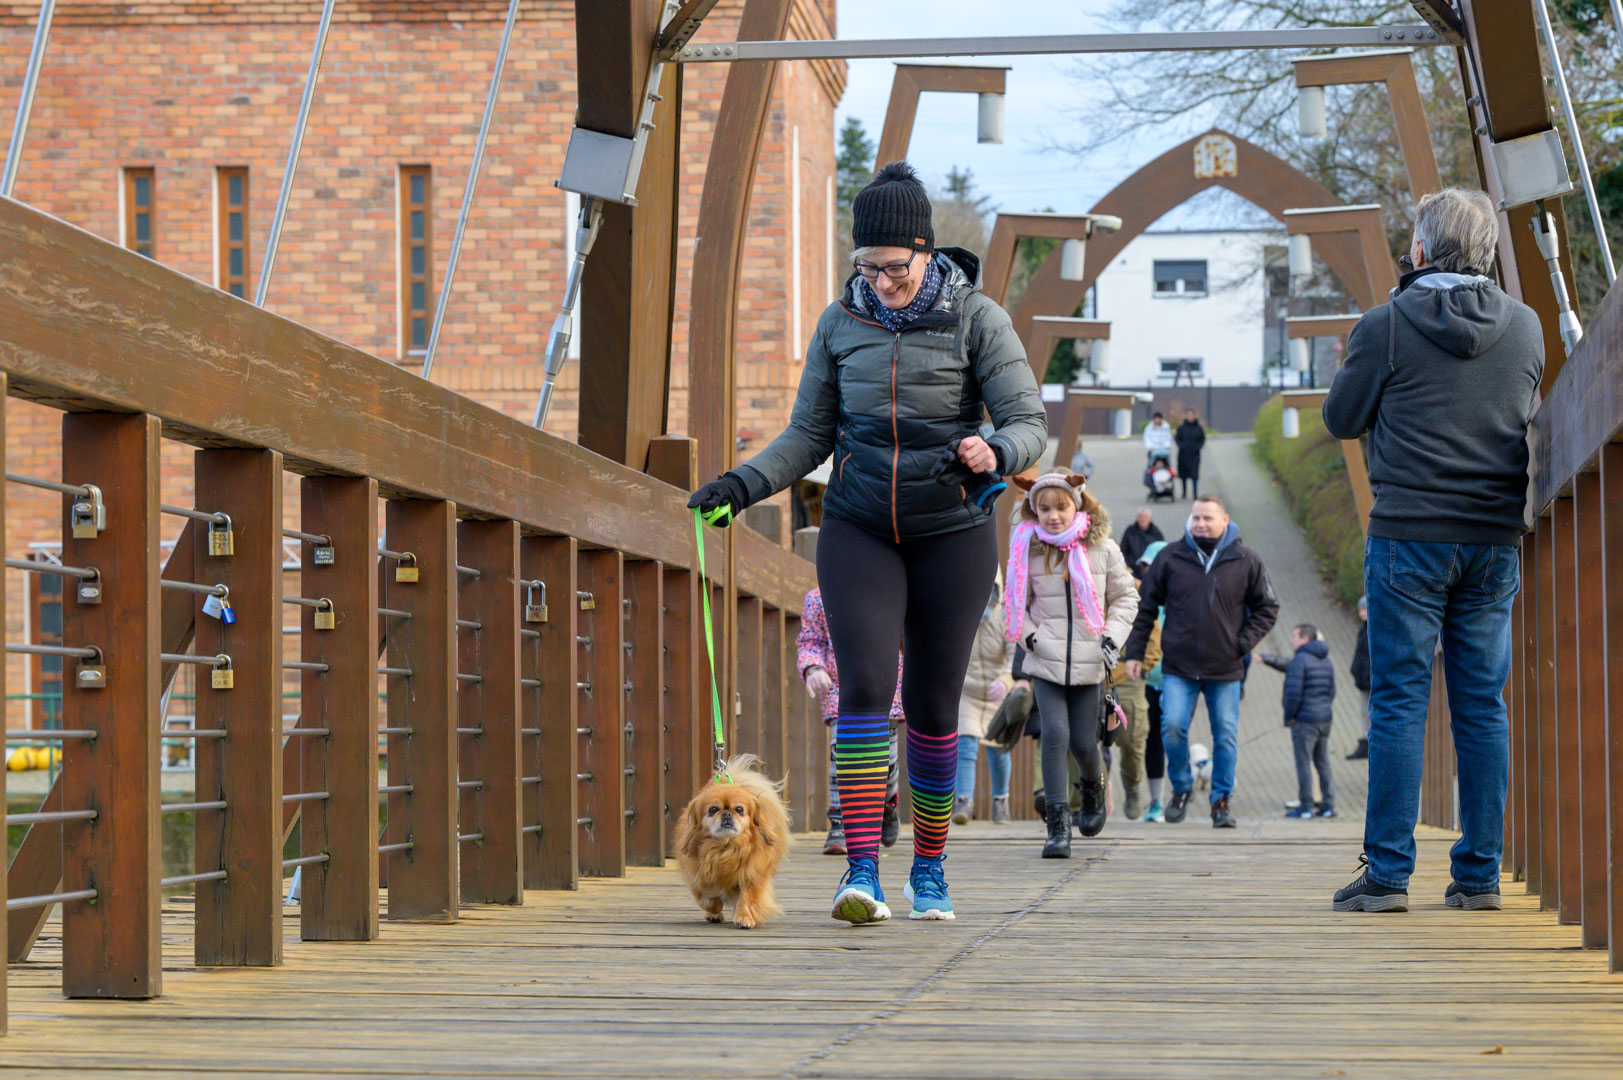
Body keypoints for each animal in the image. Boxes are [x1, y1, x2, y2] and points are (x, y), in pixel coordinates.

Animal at [675, 754, 791, 929]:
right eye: (713, 810)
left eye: (739, 810)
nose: (727, 814)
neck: (726, 848)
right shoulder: (699, 879)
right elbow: (708, 900)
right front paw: (715, 910)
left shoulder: (751, 876)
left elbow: (746, 898)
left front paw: (744, 917)